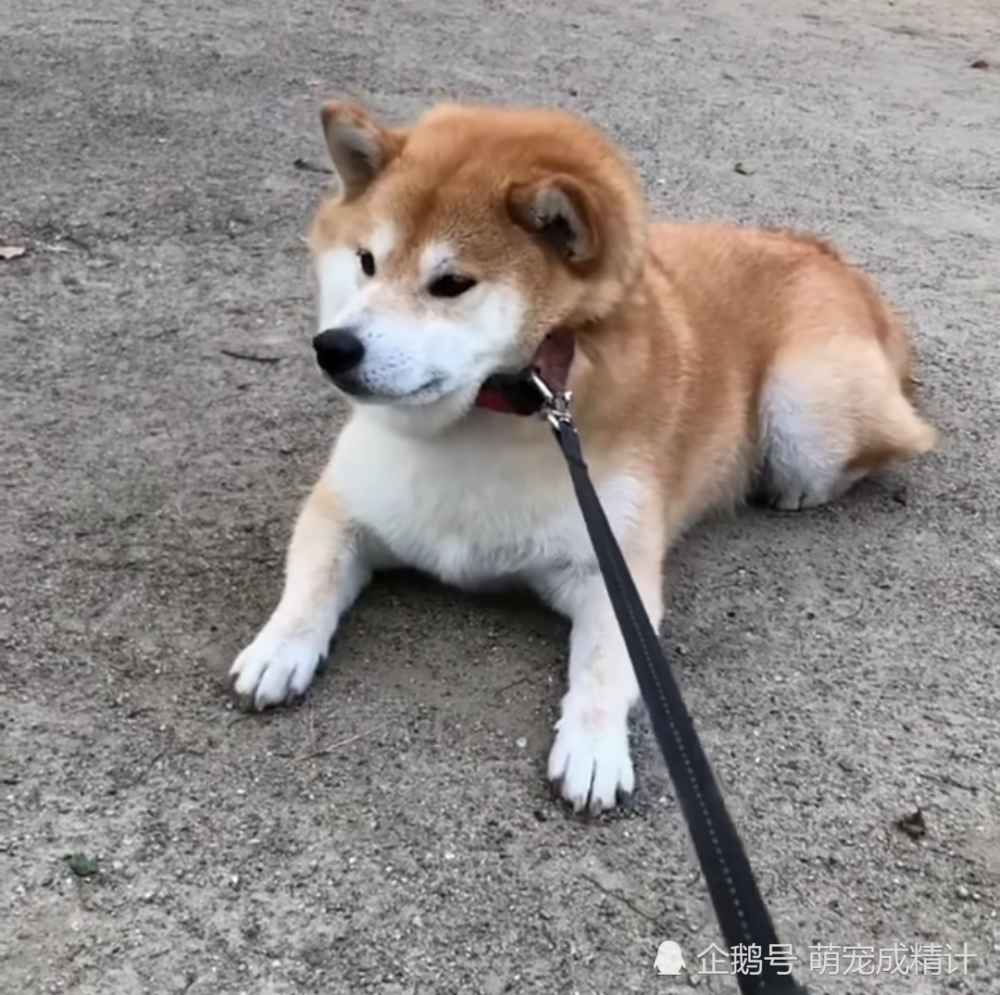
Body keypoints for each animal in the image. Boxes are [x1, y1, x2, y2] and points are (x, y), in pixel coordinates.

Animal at [229, 101, 936, 816]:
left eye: (451, 283)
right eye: (366, 261)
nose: (333, 347)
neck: (488, 418)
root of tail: (827, 254)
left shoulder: (611, 570)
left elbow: (605, 668)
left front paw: (594, 747)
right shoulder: (342, 509)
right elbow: (311, 584)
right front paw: (278, 648)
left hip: (801, 416)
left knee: (892, 442)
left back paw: (798, 490)